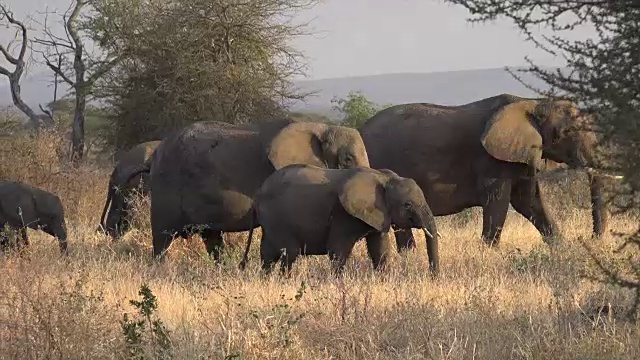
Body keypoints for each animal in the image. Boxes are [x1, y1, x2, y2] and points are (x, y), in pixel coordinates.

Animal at [124, 118, 370, 262]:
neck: (320, 126)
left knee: (211, 238)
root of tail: (153, 157)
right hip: (167, 188)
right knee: (163, 238)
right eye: (347, 159)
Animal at [240, 165, 440, 278]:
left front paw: (383, 279)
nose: (433, 277)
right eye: (407, 205)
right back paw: (284, 281)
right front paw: (337, 282)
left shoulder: (379, 213)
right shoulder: (342, 213)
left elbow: (379, 248)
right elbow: (338, 249)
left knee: (268, 254)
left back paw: (266, 280)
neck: (384, 178)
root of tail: (258, 193)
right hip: (278, 218)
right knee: (289, 253)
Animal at [360, 93, 620, 250]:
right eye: (566, 132)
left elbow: (529, 203)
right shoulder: (492, 161)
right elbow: (499, 203)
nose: (593, 238)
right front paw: (488, 252)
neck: (533, 102)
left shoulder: (520, 156)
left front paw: (560, 248)